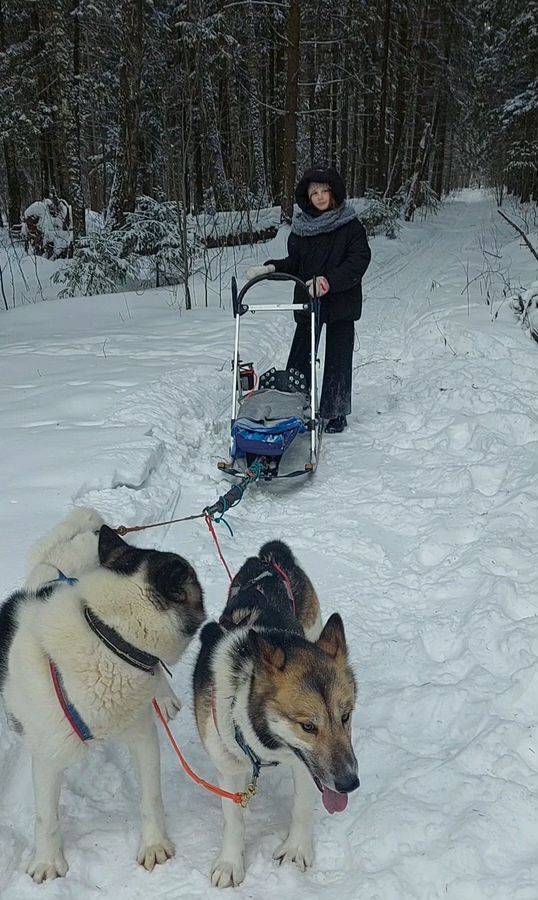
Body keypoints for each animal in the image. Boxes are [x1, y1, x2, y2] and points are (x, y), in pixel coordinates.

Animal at [0, 510, 204, 884]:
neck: (107, 636)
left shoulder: (142, 737)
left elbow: (151, 797)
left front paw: (154, 844)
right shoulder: (47, 757)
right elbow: (45, 817)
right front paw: (47, 861)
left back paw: (164, 697)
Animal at [193, 540, 356, 884]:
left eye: (346, 716)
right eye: (308, 726)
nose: (350, 782)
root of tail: (270, 557)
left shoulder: (306, 765)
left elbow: (303, 805)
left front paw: (296, 850)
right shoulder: (226, 763)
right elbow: (233, 818)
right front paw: (230, 862)